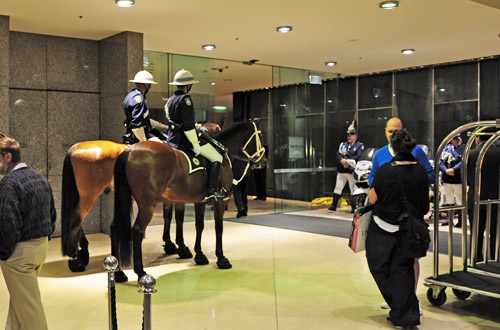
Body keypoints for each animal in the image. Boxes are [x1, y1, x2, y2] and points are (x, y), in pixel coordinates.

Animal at [111, 120, 264, 282]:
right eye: (260, 136)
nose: (263, 162)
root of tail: (130, 150)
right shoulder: (220, 201)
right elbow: (218, 227)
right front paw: (221, 258)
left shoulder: (199, 201)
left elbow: (198, 225)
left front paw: (199, 255)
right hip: (147, 204)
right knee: (138, 232)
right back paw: (140, 272)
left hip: (128, 199)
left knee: (115, 227)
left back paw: (118, 271)